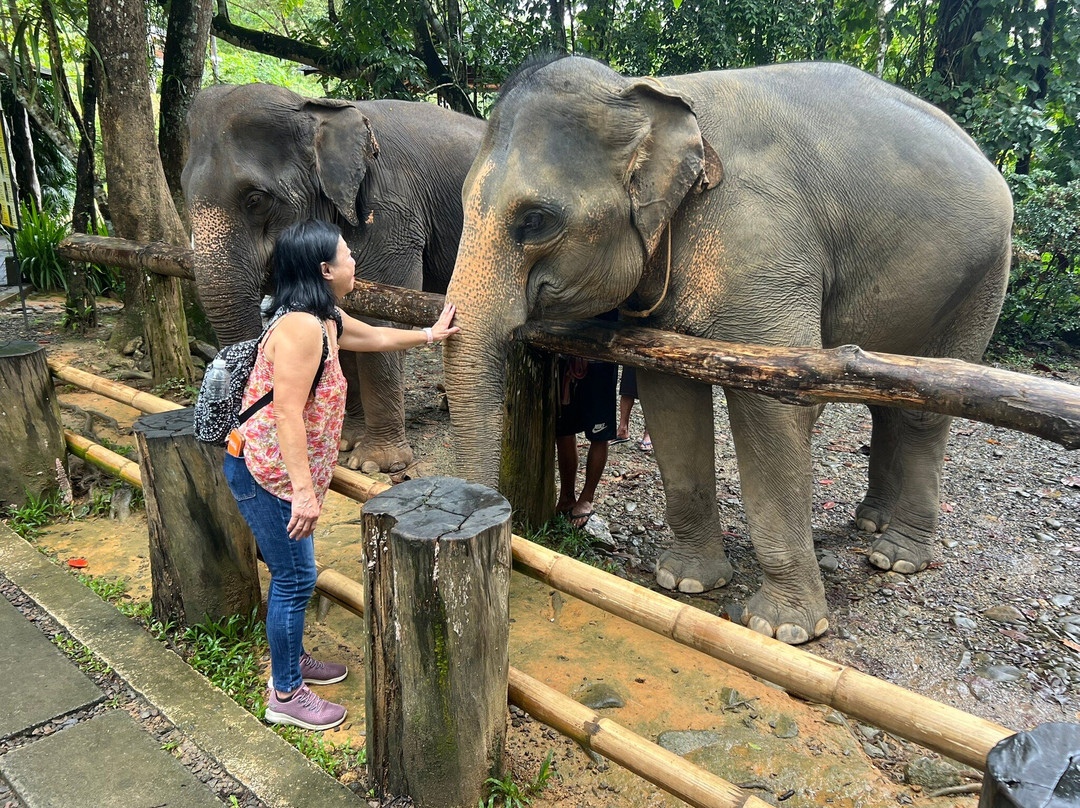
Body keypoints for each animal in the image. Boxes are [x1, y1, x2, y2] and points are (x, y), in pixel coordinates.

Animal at [181, 83, 485, 472]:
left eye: (256, 199)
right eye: (183, 191)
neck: (317, 110)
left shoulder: (392, 214)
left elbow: (380, 322)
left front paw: (376, 464)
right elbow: (346, 322)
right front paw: (345, 441)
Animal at [442, 56, 1012, 644]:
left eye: (535, 220)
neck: (649, 93)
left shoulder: (766, 249)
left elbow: (776, 408)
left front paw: (781, 628)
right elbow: (669, 397)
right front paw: (686, 582)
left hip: (985, 276)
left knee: (929, 409)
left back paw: (895, 557)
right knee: (888, 397)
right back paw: (868, 522)